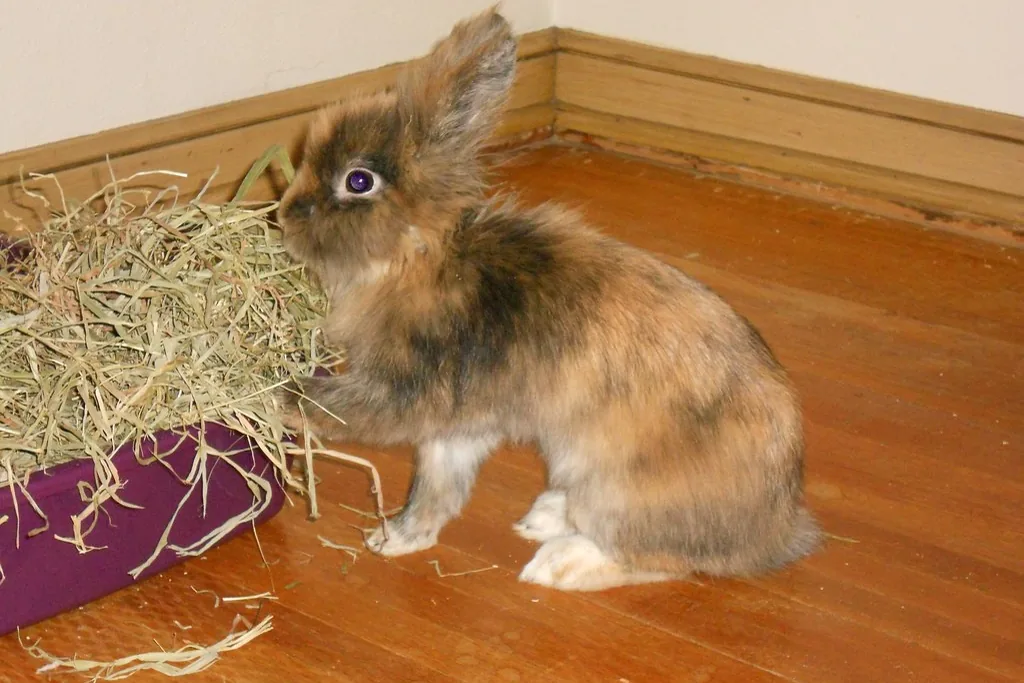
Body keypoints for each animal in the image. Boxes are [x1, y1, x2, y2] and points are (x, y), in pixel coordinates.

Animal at [274, 6, 821, 591]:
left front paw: (283, 399)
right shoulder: (462, 421)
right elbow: (439, 483)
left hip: (618, 490)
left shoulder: (412, 389)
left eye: (358, 181)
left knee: (653, 559)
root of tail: (774, 535)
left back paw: (557, 564)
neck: (420, 257)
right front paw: (398, 537)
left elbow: (344, 411)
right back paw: (547, 515)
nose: (283, 213)